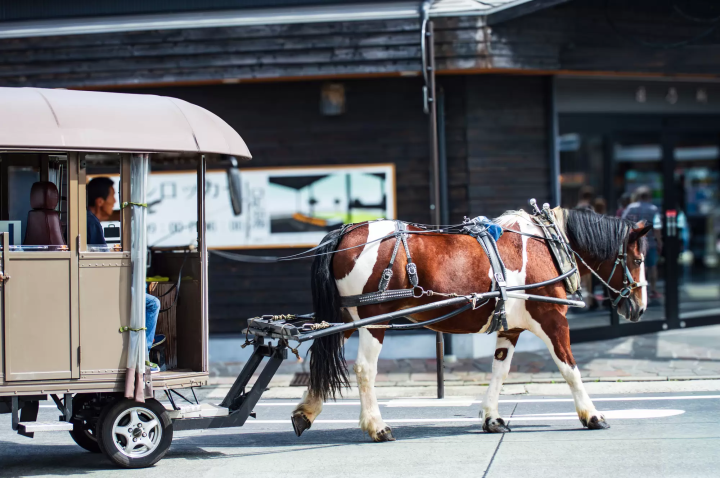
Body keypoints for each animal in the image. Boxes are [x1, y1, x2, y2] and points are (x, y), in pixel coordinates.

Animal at [291, 208, 651, 442]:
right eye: (638, 259)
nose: (640, 308)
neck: (546, 245)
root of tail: (345, 232)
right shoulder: (552, 319)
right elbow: (569, 368)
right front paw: (592, 415)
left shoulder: (510, 327)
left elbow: (500, 371)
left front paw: (491, 417)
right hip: (372, 319)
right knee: (364, 368)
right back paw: (376, 426)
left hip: (346, 318)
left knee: (322, 356)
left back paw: (305, 412)